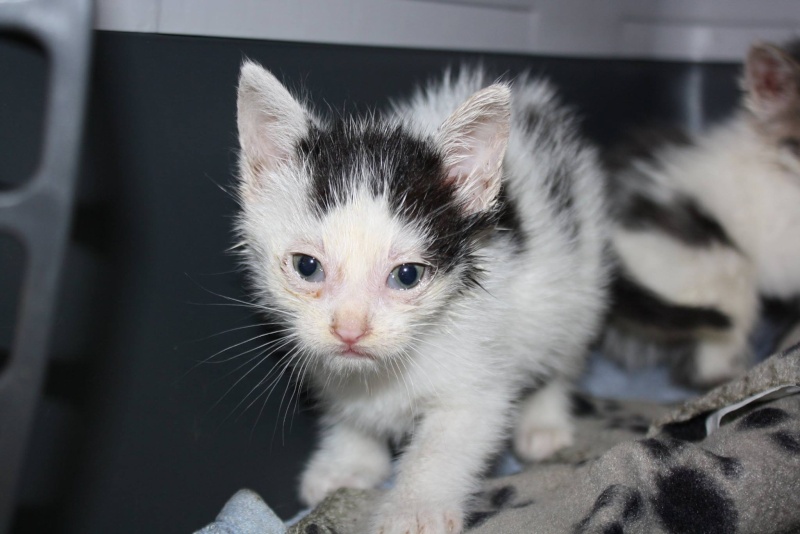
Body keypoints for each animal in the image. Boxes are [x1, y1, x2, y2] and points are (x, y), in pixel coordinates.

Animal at [234, 63, 608, 534]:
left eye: (407, 275)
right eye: (306, 266)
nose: (350, 330)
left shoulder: (479, 373)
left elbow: (447, 441)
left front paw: (413, 510)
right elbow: (347, 410)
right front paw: (348, 463)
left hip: (580, 277)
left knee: (565, 353)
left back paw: (544, 424)